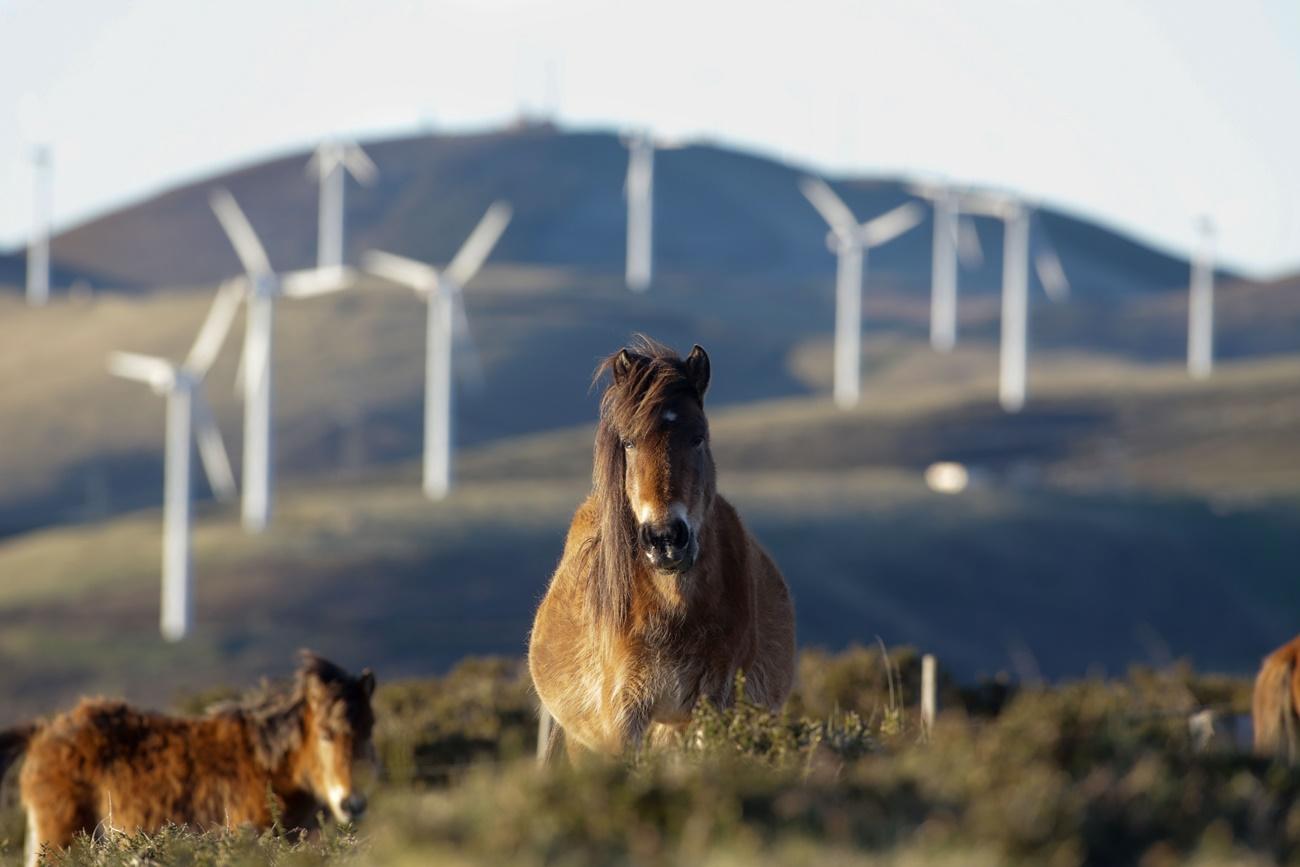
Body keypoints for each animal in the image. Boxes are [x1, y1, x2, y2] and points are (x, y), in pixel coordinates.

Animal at [525, 337, 790, 759]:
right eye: (630, 442)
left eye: (698, 437)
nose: (666, 539)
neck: (673, 608)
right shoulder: (622, 715)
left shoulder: (712, 703)